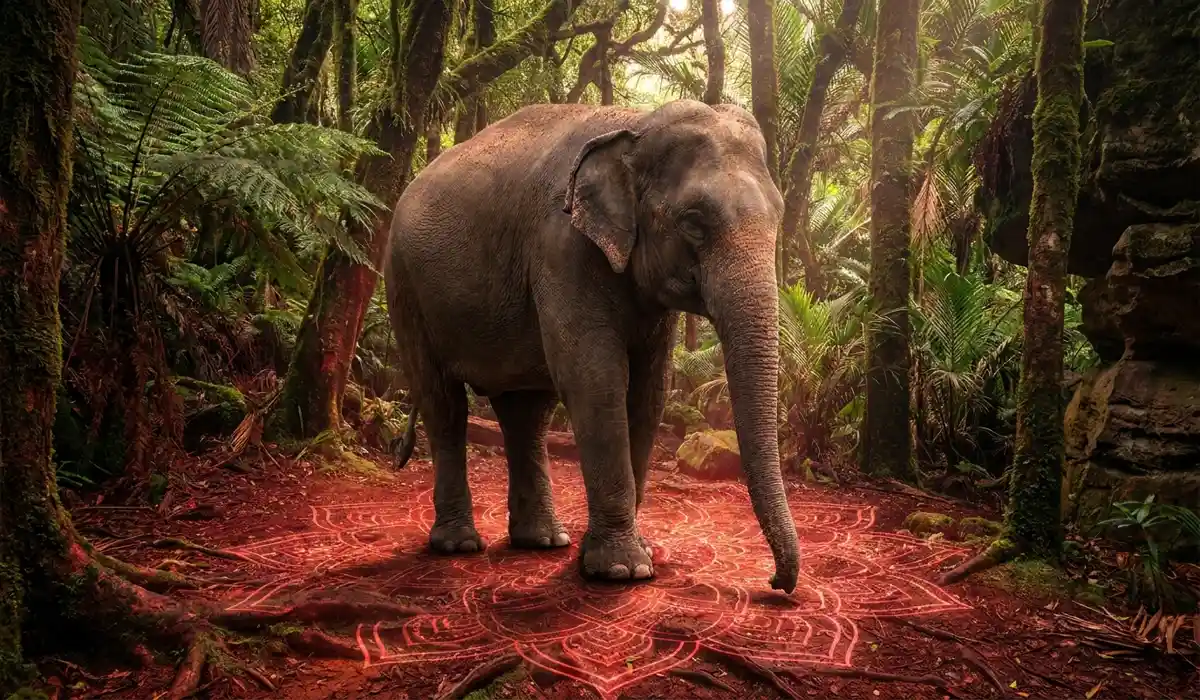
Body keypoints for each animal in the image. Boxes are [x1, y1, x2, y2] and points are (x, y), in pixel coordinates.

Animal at [384, 99, 801, 592]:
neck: (635, 123)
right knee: (443, 403)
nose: (775, 582)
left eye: (778, 216)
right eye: (694, 223)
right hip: (404, 286)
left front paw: (620, 556)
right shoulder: (562, 247)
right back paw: (458, 545)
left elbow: (649, 391)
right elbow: (594, 379)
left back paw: (544, 541)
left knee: (527, 413)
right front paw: (622, 570)